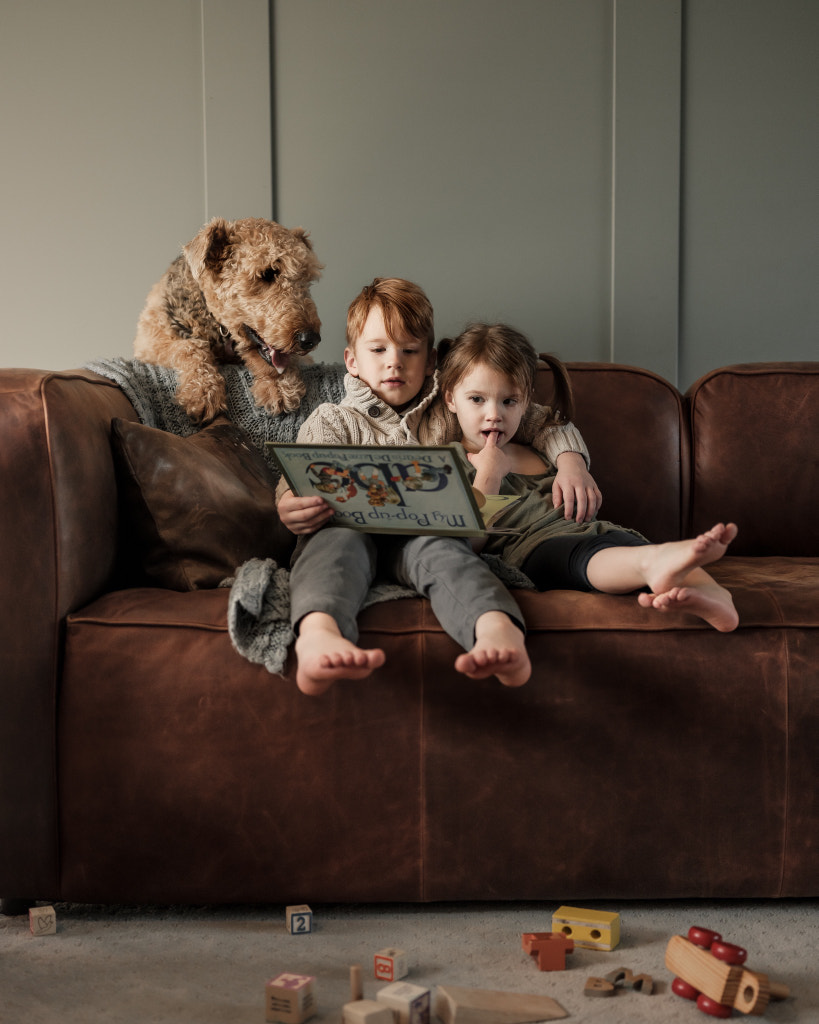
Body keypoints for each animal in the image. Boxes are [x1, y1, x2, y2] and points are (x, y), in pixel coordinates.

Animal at [134, 216, 323, 419]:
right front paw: (203, 392)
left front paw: (281, 387)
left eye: (306, 279)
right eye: (268, 273)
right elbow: (189, 347)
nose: (310, 339)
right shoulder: (150, 343)